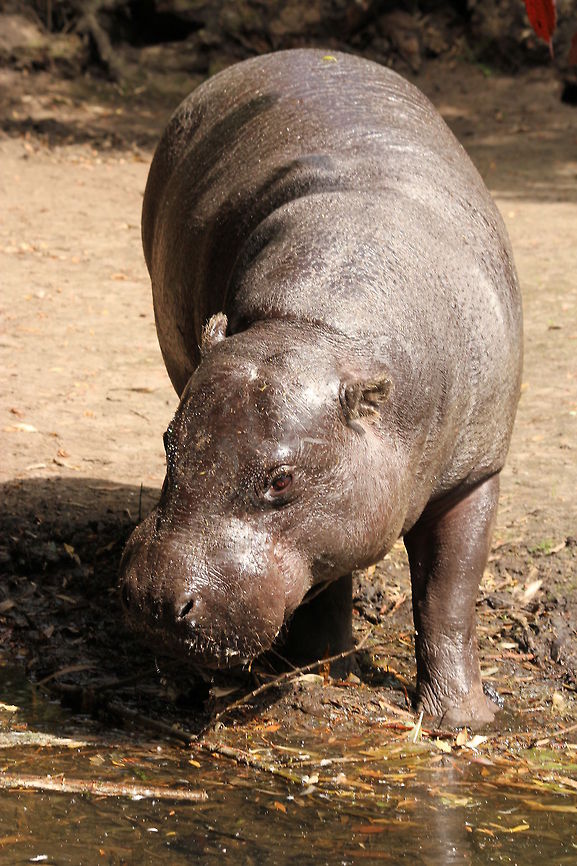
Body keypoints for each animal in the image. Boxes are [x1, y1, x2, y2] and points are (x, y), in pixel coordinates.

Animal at [120, 49, 522, 726]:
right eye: (169, 445)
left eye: (282, 480)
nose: (155, 601)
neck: (317, 331)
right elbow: (327, 576)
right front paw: (315, 669)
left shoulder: (476, 472)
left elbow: (450, 593)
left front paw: (466, 721)